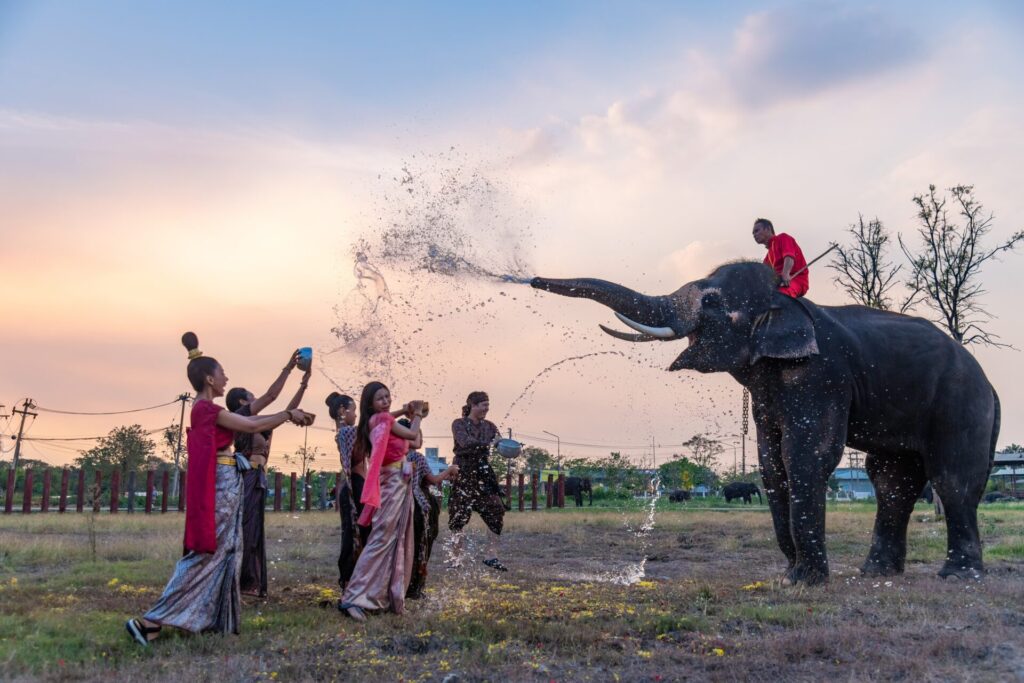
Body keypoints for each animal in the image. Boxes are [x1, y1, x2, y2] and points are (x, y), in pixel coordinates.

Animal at [531, 261, 999, 585]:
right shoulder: (767, 390)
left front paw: (805, 582)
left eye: (711, 302)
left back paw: (957, 577)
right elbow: (772, 461)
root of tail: (990, 384)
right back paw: (875, 573)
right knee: (891, 481)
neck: (787, 304)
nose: (531, 280)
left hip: (962, 405)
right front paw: (790, 577)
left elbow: (806, 455)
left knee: (951, 478)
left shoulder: (820, 374)